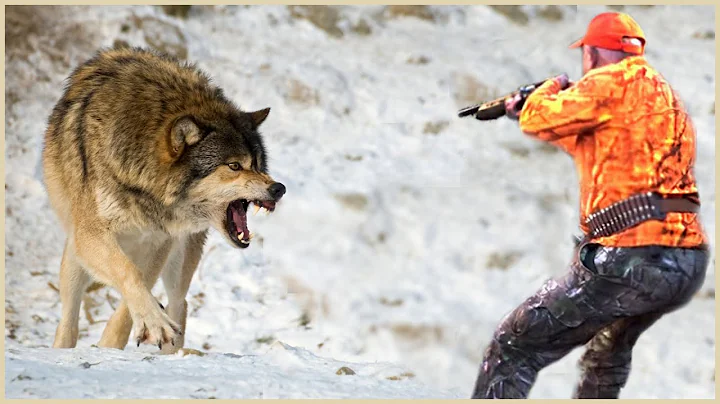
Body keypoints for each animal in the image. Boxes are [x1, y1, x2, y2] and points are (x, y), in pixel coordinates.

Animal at [42, 46, 286, 354]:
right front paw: (152, 325)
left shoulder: (160, 242)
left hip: (180, 257)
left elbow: (132, 299)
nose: (279, 188)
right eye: (234, 166)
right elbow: (129, 275)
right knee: (69, 316)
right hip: (75, 257)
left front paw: (118, 342)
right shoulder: (90, 236)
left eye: (258, 164)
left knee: (180, 303)